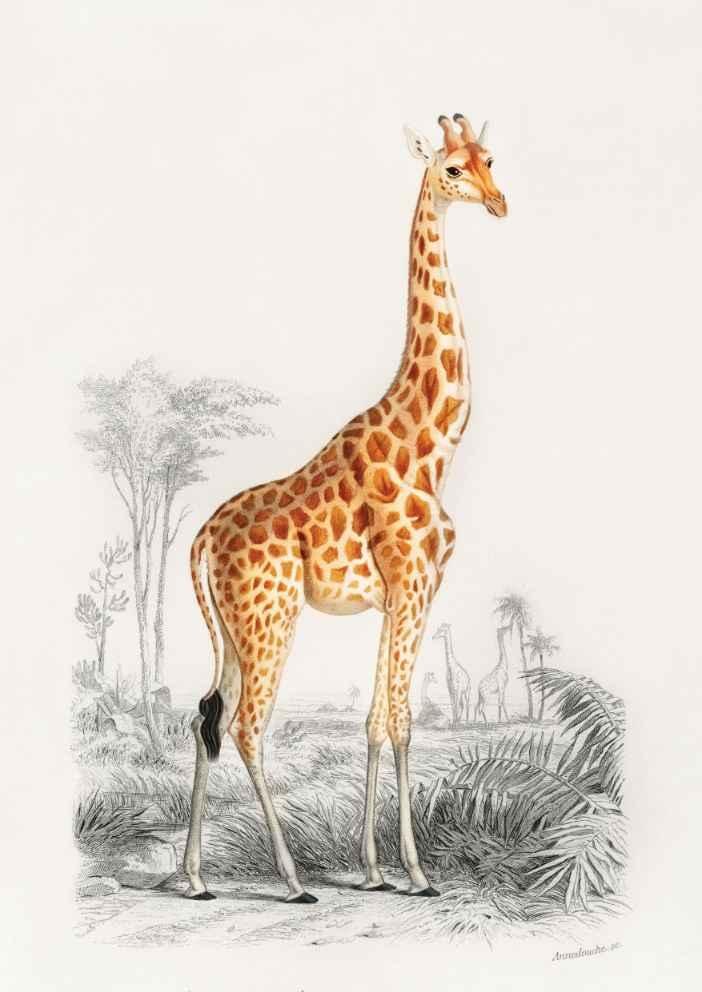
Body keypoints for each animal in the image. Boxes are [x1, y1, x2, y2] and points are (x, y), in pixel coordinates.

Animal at [183, 112, 507, 904]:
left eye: (490, 159)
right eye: (452, 169)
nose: (498, 202)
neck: (432, 444)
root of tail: (200, 538)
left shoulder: (399, 598)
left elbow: (375, 721)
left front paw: (374, 869)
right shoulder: (414, 585)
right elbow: (403, 721)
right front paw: (416, 873)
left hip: (233, 630)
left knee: (205, 715)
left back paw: (195, 878)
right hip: (270, 620)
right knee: (246, 727)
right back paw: (293, 880)